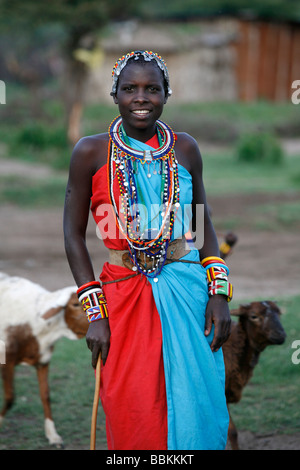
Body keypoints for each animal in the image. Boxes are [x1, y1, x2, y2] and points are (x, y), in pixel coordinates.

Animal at [0, 270, 88, 446]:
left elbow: (45, 395)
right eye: (75, 304)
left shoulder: (43, 360)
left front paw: (53, 436)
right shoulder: (6, 359)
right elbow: (10, 397)